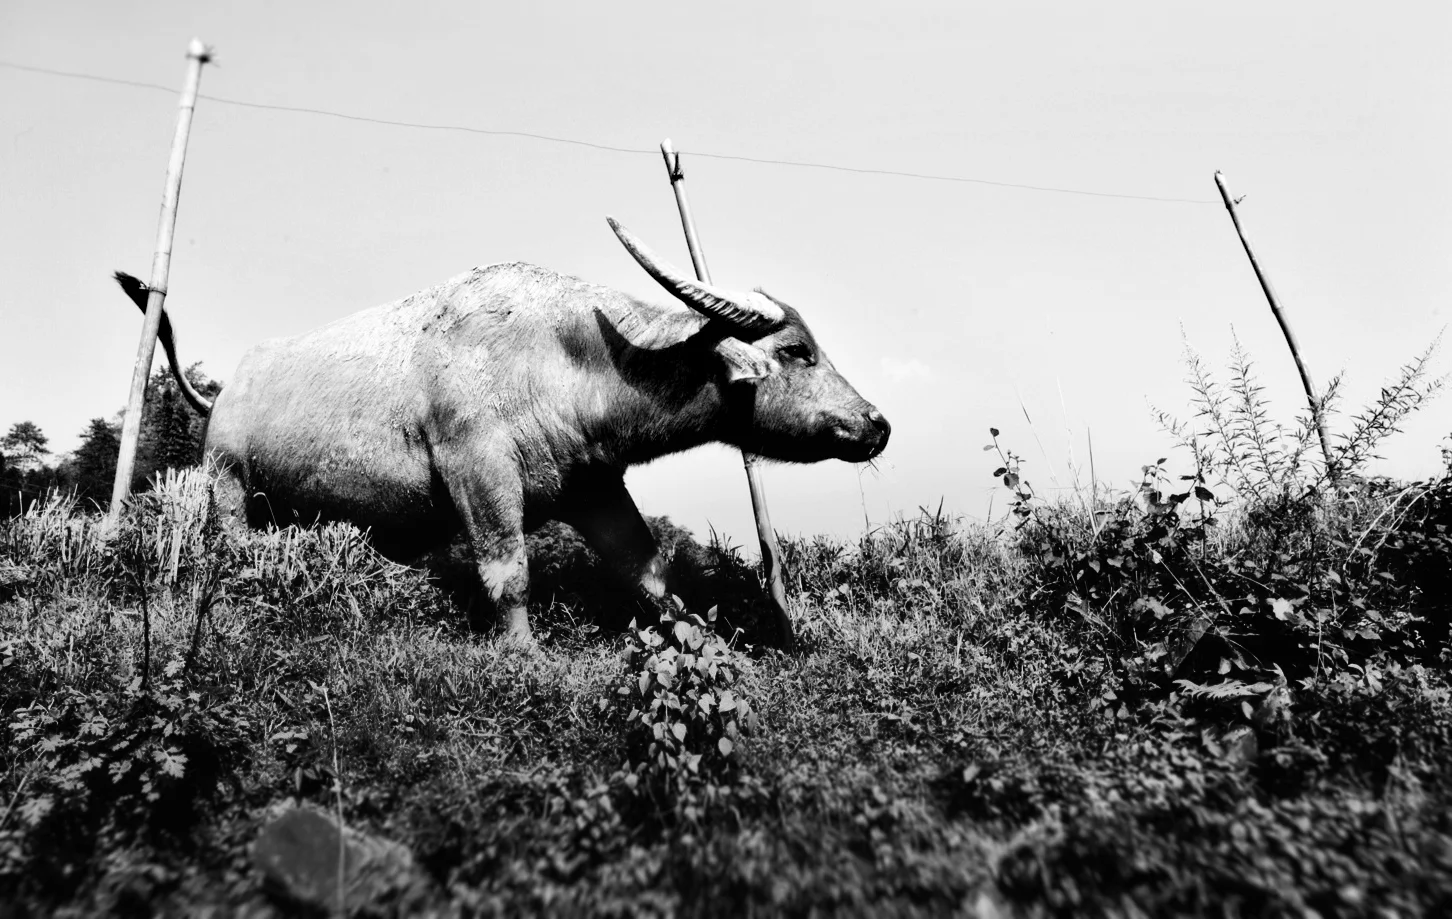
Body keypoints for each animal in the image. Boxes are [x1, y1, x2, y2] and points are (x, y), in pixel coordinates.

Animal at [116, 218, 889, 642]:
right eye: (798, 351)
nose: (877, 425)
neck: (565, 360)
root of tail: (225, 393)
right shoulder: (479, 473)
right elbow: (508, 571)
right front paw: (524, 653)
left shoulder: (592, 484)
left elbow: (645, 568)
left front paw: (697, 633)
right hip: (226, 484)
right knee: (227, 545)